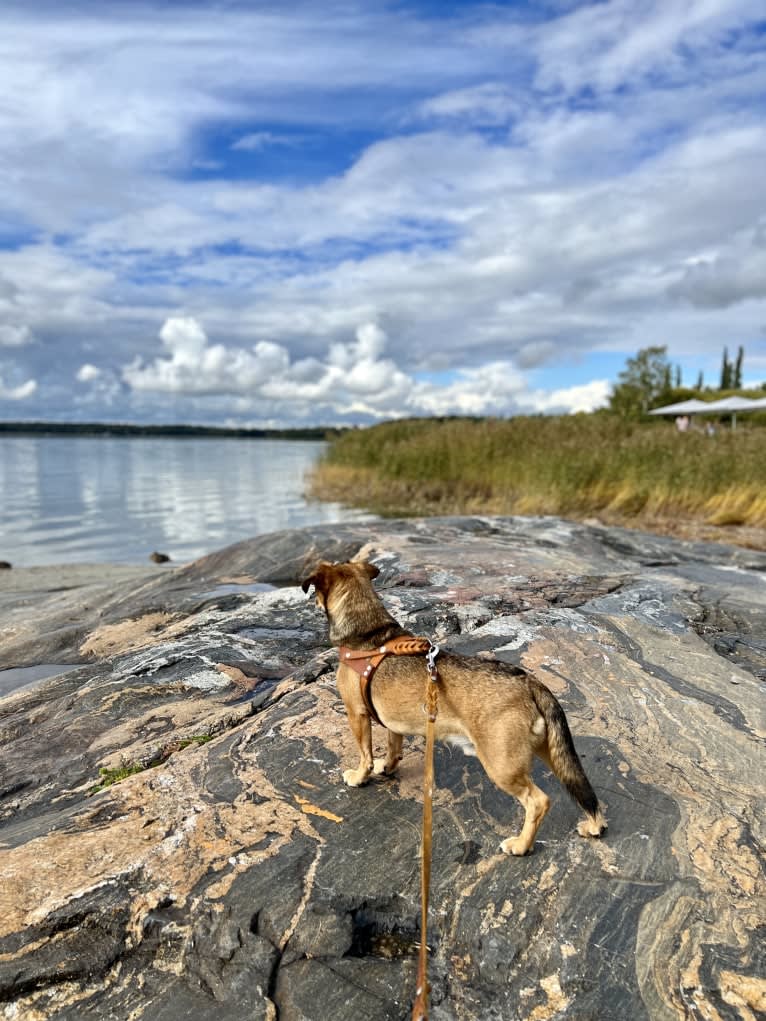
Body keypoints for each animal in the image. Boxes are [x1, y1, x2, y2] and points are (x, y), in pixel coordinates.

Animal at [302, 559, 608, 853]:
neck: (369, 630)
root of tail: (531, 683)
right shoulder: (392, 722)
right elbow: (393, 747)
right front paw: (386, 767)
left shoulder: (357, 714)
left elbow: (365, 753)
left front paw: (359, 776)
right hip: (551, 752)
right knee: (581, 788)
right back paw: (594, 826)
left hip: (502, 765)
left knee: (538, 801)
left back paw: (521, 845)